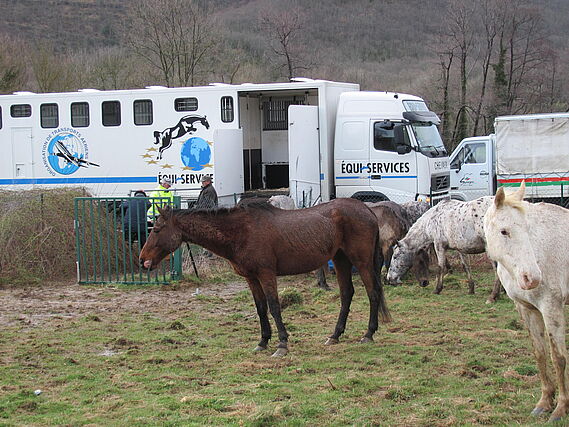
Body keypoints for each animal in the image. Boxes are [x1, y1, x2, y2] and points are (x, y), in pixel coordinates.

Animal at [140, 198, 392, 358]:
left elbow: (274, 306)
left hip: (361, 262)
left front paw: (282, 344)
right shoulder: (251, 278)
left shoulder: (266, 274)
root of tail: (368, 210)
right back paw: (335, 335)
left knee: (372, 293)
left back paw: (368, 334)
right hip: (340, 260)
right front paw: (262, 341)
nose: (143, 259)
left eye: (157, 230)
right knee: (347, 294)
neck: (240, 231)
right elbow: (261, 308)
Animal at [484, 182, 568, 422]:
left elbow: (558, 357)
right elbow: (540, 353)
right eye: (504, 231)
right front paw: (544, 403)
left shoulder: (552, 308)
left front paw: (561, 408)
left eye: (528, 229)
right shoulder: (527, 309)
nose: (532, 278)